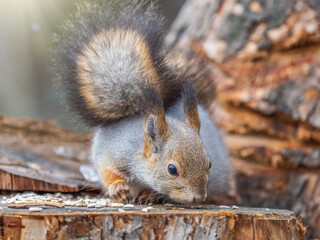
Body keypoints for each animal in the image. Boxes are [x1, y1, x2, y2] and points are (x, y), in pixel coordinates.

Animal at [52, 0, 232, 203]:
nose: (199, 198)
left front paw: (149, 193)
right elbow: (106, 169)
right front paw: (117, 188)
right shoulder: (110, 149)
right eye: (172, 169)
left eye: (209, 164)